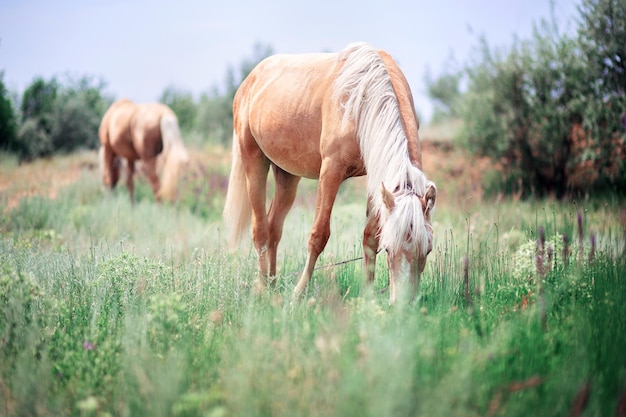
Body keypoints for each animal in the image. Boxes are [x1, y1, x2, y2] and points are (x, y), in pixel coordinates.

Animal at [223, 41, 434, 302]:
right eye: (389, 248)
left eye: (428, 249)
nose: (404, 305)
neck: (362, 99)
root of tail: (250, 80)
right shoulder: (331, 172)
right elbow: (319, 235)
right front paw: (299, 293)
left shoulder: (375, 179)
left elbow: (369, 237)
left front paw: (367, 296)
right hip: (254, 161)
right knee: (260, 229)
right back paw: (263, 288)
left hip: (287, 176)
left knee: (273, 228)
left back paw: (273, 286)